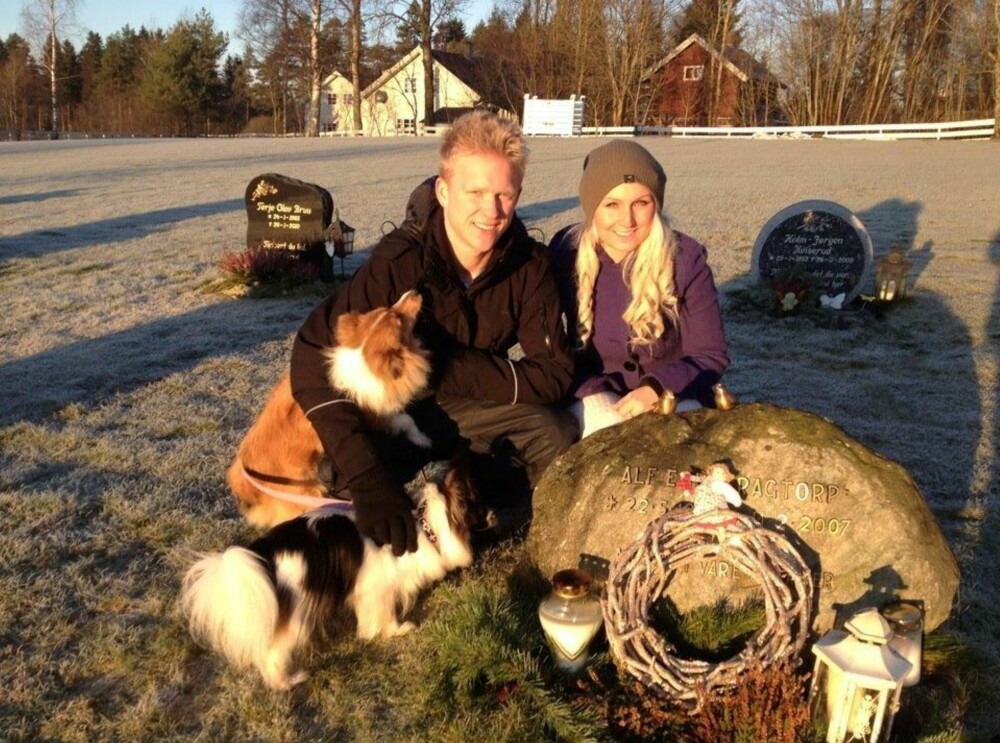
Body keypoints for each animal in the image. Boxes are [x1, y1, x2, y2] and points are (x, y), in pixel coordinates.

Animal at [182, 464, 482, 692]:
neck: (426, 527)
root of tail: (264, 555)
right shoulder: (378, 589)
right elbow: (385, 616)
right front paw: (396, 630)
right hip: (296, 616)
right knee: (273, 654)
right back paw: (288, 682)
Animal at [230, 290, 434, 528]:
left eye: (388, 308)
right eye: (399, 319)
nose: (414, 292)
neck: (362, 361)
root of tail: (244, 482)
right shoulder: (378, 416)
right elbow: (407, 421)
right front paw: (423, 439)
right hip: (306, 494)